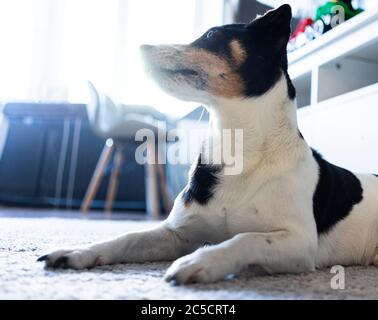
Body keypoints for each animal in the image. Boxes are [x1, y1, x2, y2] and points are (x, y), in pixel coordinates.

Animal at [38, 4, 378, 284]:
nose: (141, 47)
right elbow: (126, 237)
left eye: (213, 34)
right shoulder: (175, 233)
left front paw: (200, 261)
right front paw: (78, 251)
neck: (239, 146)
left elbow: (245, 239)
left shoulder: (298, 241)